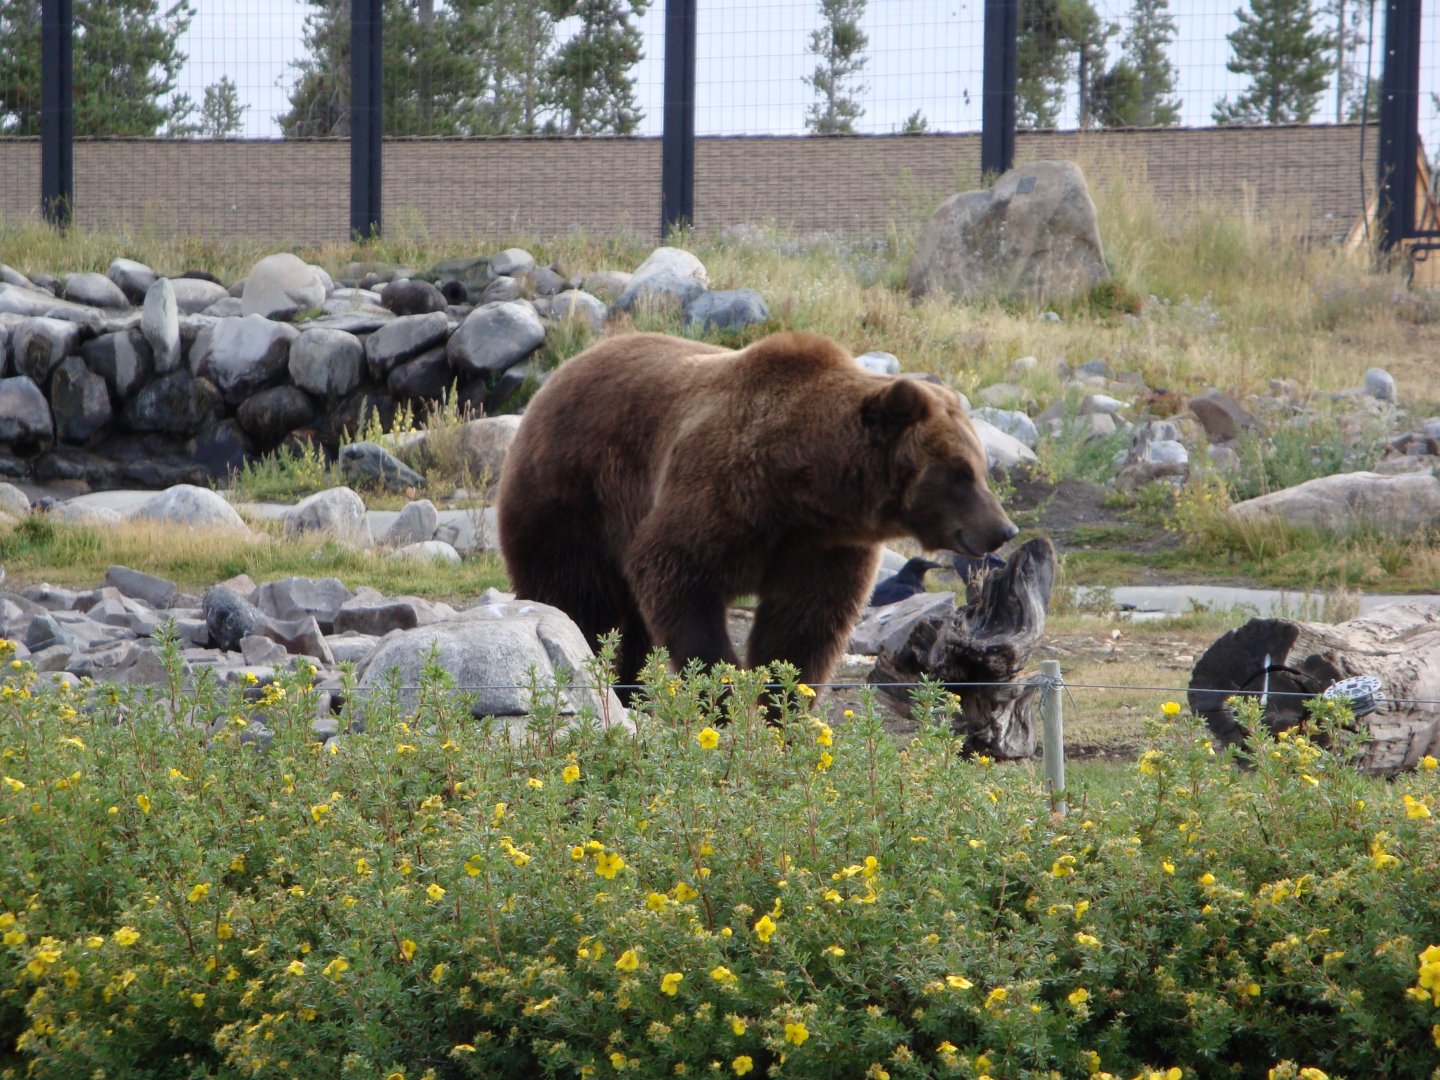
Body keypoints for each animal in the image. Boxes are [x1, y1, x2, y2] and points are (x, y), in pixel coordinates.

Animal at [496, 330, 1017, 694]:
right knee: (577, 597)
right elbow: (677, 578)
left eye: (980, 467)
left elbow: (804, 624)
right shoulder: (717, 499)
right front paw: (724, 690)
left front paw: (779, 704)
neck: (801, 486)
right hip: (573, 499)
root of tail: (555, 378)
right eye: (959, 473)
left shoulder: (821, 545)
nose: (1003, 528)